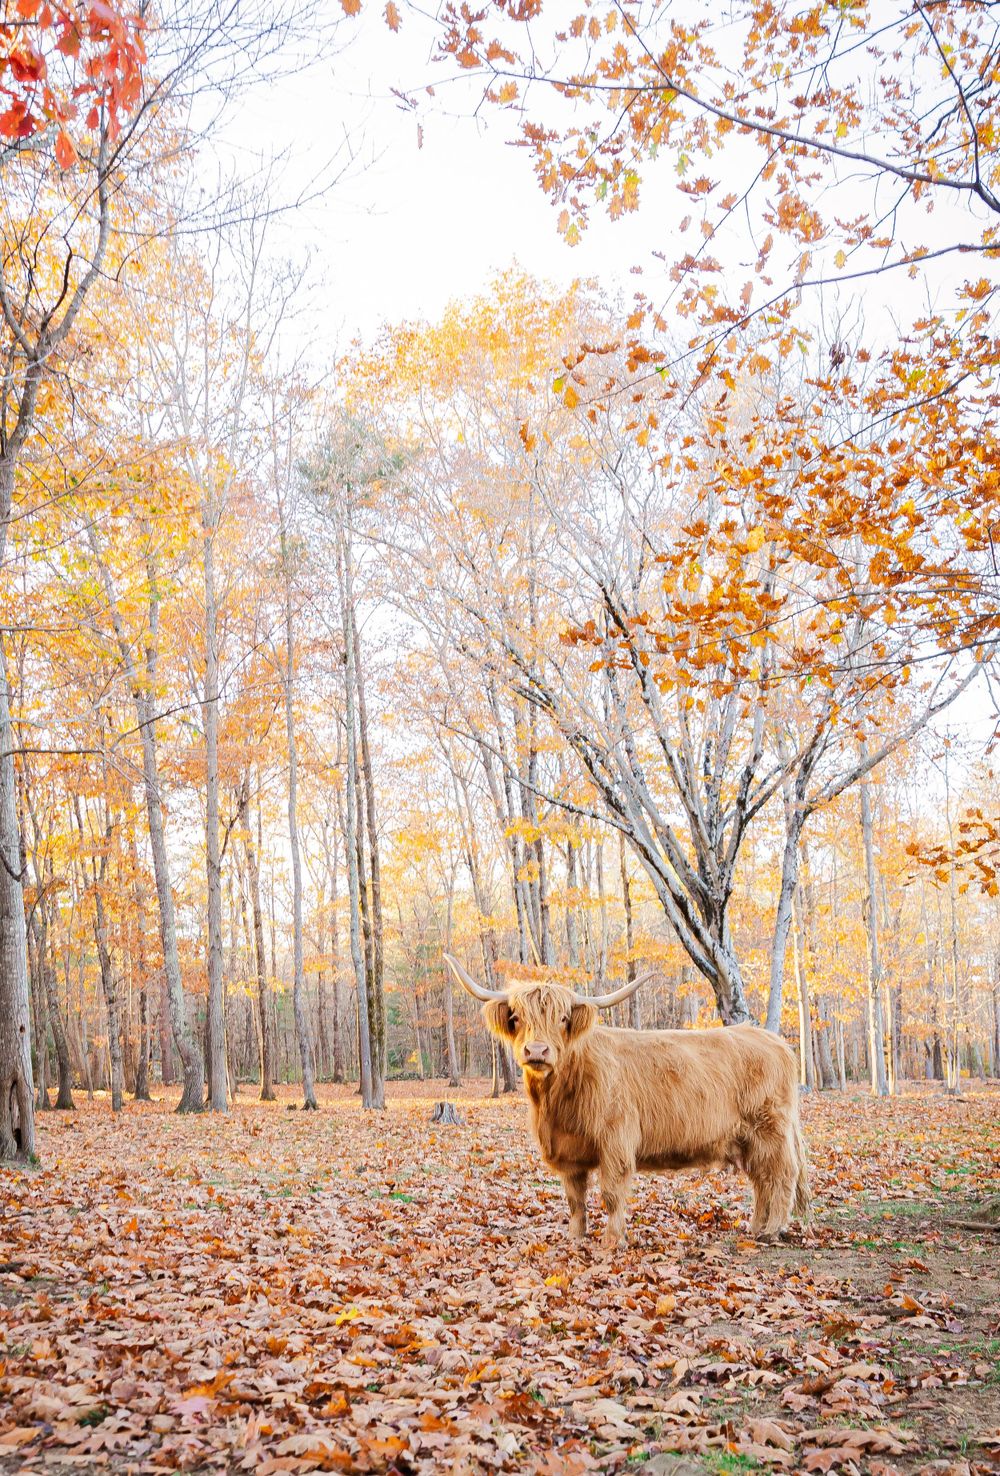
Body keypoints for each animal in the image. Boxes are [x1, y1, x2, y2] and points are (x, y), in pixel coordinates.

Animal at [443, 954, 810, 1250]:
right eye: (517, 1017)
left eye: (562, 1019)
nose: (536, 1051)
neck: (558, 1101)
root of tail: (775, 1041)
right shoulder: (567, 1151)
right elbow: (575, 1198)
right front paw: (575, 1237)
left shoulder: (615, 1140)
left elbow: (611, 1193)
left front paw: (613, 1240)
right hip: (748, 1138)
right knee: (761, 1180)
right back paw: (755, 1227)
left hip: (771, 1129)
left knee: (781, 1175)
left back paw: (771, 1231)